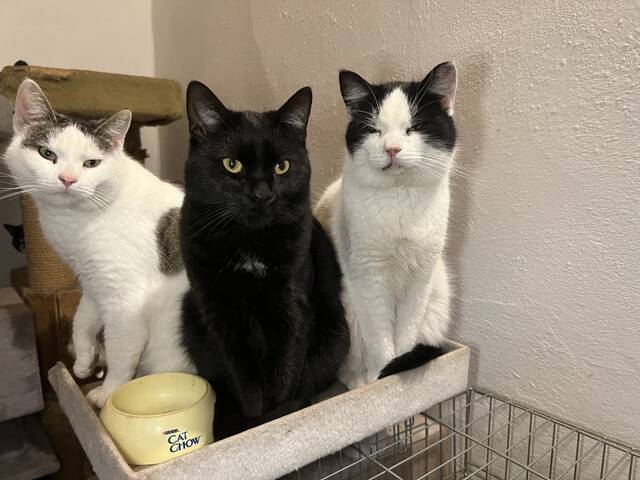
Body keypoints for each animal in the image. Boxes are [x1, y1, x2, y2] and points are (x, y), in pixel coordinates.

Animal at [3, 79, 194, 407]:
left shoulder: (123, 299)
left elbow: (119, 351)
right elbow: (82, 320)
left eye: (91, 163)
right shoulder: (93, 281)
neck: (73, 222)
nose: (67, 179)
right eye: (46, 153)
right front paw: (83, 361)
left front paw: (108, 392)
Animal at [178, 80, 349, 437]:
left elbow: (284, 370)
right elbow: (242, 375)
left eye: (282, 166)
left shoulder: (291, 305)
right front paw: (253, 421)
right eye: (232, 164)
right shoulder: (220, 310)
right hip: (189, 312)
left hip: (336, 333)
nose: (261, 194)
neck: (249, 243)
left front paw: (274, 420)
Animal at [315, 62, 457, 388]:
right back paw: (361, 382)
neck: (399, 199)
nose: (392, 148)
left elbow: (405, 334)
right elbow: (380, 339)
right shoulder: (369, 278)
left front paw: (396, 373)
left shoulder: (420, 277)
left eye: (414, 127)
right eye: (373, 129)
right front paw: (382, 380)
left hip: (438, 293)